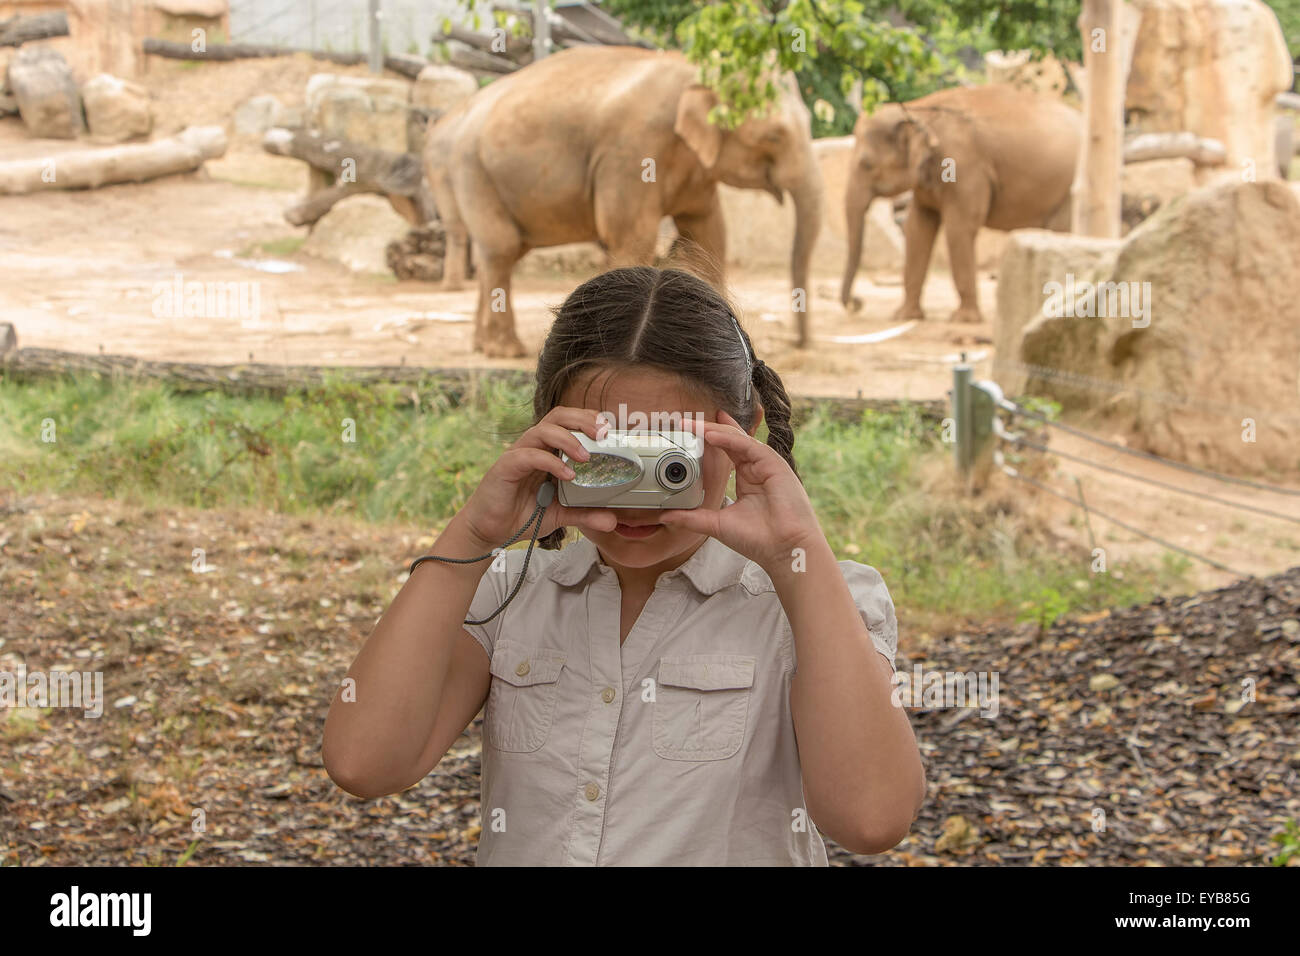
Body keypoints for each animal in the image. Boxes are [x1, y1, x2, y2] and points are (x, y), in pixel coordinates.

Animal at [423, 46, 821, 356]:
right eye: (774, 136)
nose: (797, 344)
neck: (696, 69)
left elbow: (707, 234)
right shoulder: (631, 152)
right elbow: (633, 236)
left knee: (500, 252)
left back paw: (481, 346)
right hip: (472, 171)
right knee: (501, 248)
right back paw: (505, 351)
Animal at [837, 83, 1081, 321]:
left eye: (866, 164)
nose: (857, 304)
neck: (917, 110)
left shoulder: (964, 167)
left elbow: (959, 227)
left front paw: (963, 319)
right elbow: (918, 227)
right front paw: (904, 316)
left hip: (1068, 191)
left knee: (1061, 231)